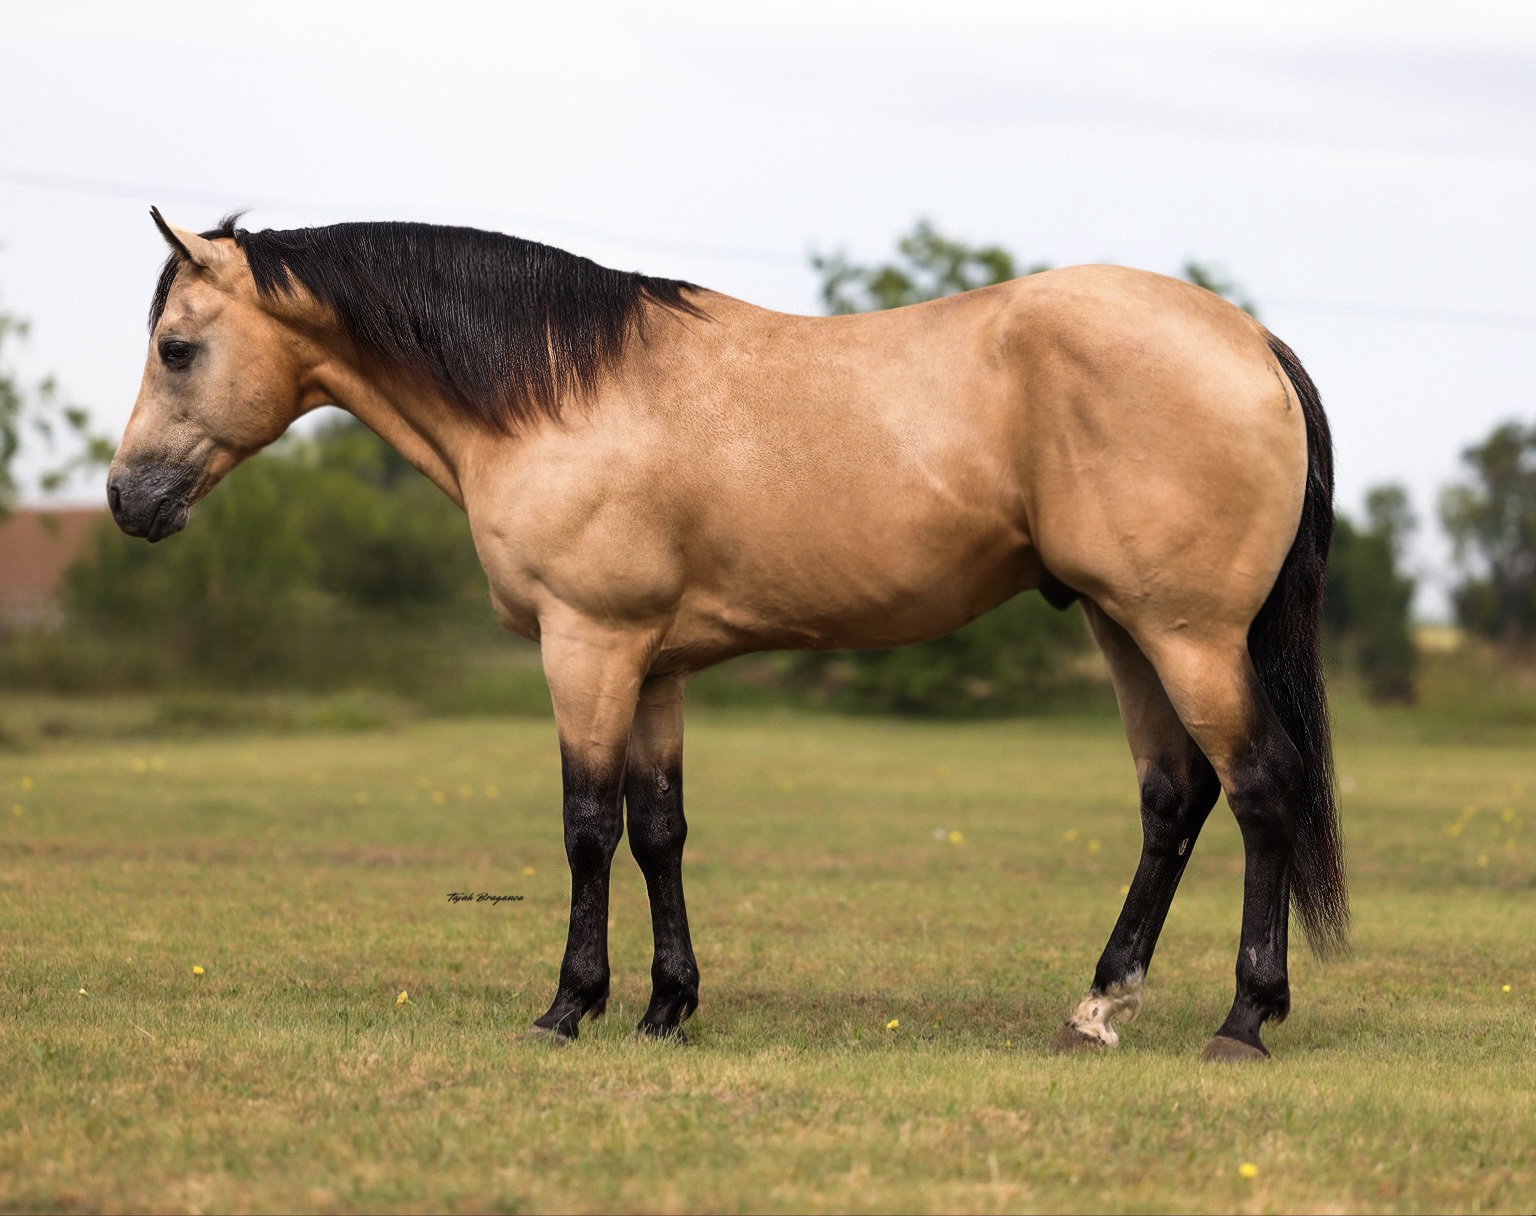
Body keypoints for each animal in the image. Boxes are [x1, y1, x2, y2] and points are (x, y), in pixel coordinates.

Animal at [109, 208, 1347, 1062]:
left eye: (175, 348)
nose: (127, 499)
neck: (561, 395)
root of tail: (1251, 340)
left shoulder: (587, 645)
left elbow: (587, 828)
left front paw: (568, 1005)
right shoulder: (652, 664)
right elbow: (659, 830)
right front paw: (667, 1005)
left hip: (1187, 634)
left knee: (1262, 786)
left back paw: (1244, 1016)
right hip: (1124, 627)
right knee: (1173, 798)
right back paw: (1099, 1005)